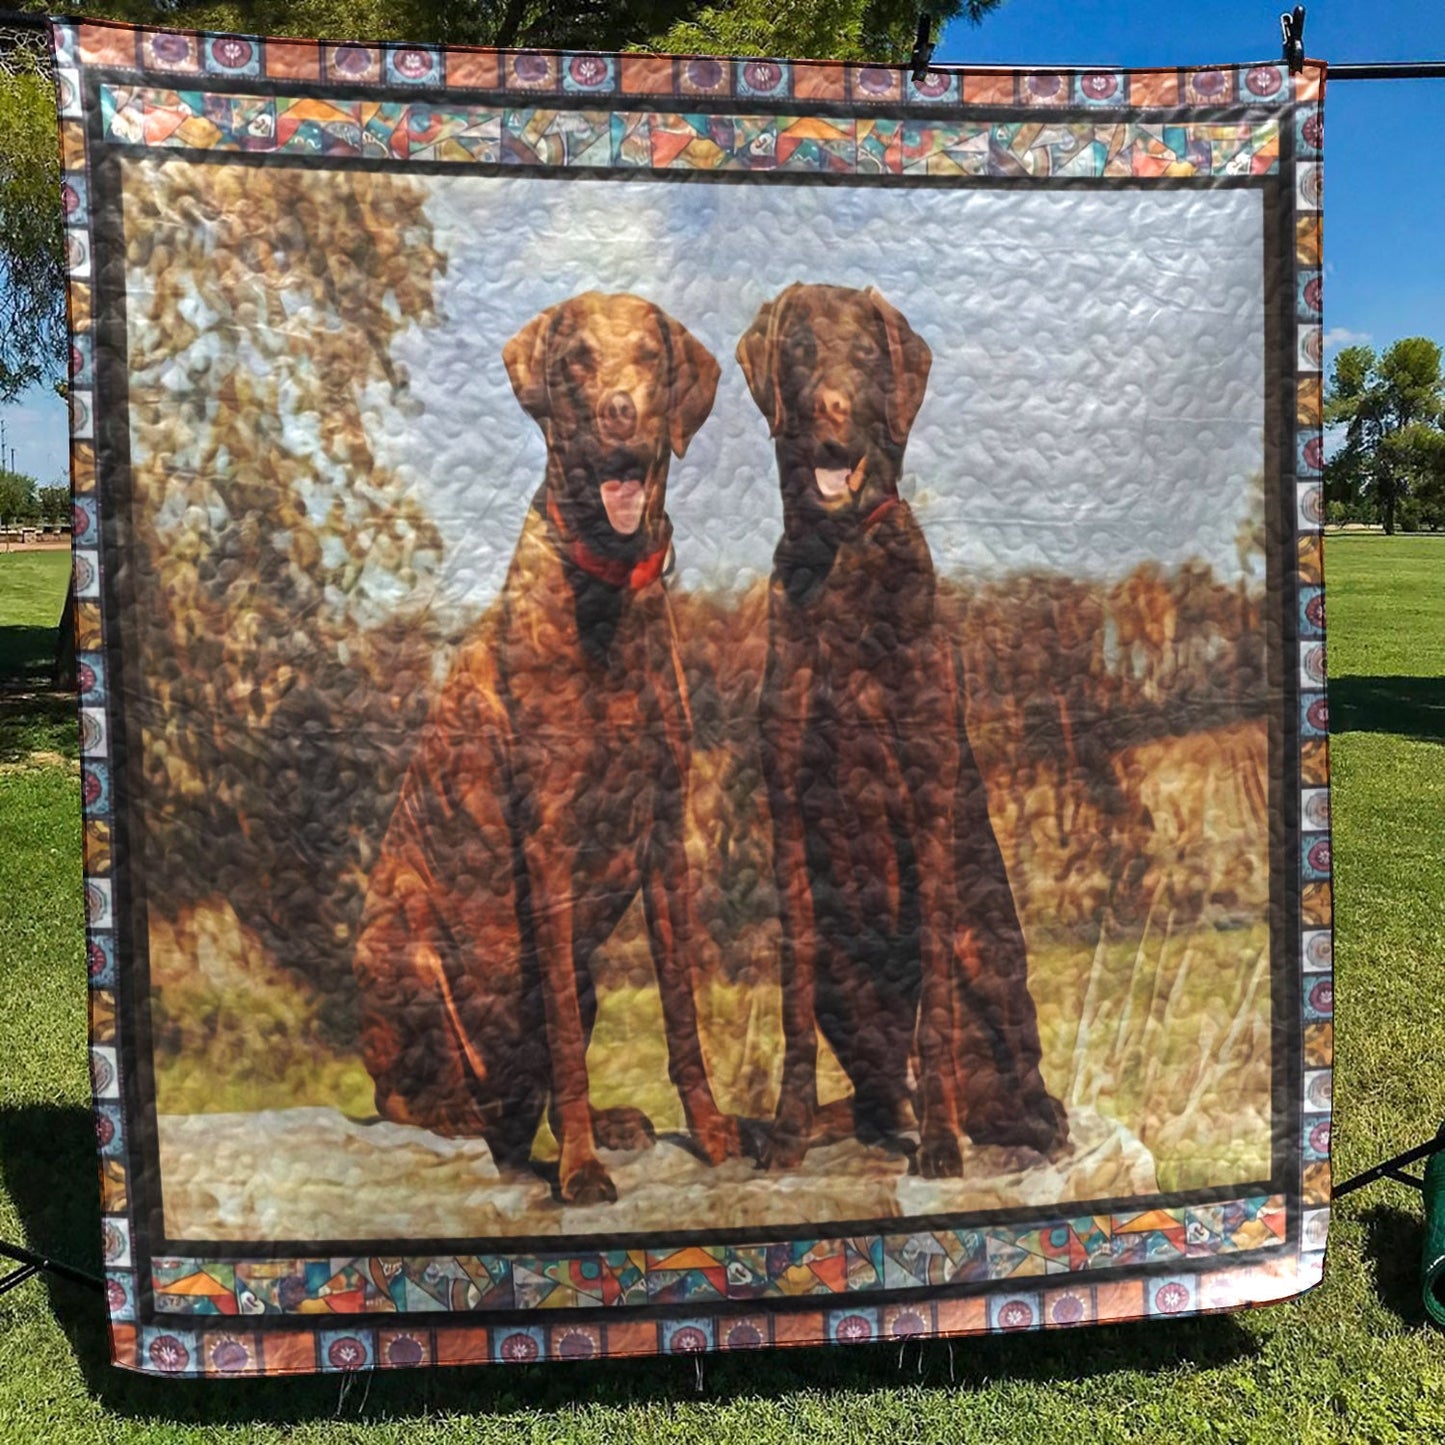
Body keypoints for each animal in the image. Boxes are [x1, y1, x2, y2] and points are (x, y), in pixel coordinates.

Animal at [354, 293, 739, 1208]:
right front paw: (580, 1170)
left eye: (649, 357)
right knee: (417, 1102)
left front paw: (707, 1130)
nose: (620, 414)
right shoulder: (549, 843)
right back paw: (499, 1130)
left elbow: (681, 1007)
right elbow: (564, 1033)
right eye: (577, 362)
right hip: (401, 950)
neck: (608, 588)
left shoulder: (666, 837)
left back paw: (597, 1122)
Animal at [739, 281, 1069, 1173]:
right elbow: (789, 1004)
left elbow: (938, 1016)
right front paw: (785, 1132)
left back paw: (1008, 1133)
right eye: (800, 350)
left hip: (986, 956)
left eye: (864, 354)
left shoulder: (924, 797)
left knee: (1019, 1090)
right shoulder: (786, 809)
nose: (830, 417)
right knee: (875, 1092)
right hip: (842, 980)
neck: (841, 556)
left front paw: (941, 1150)